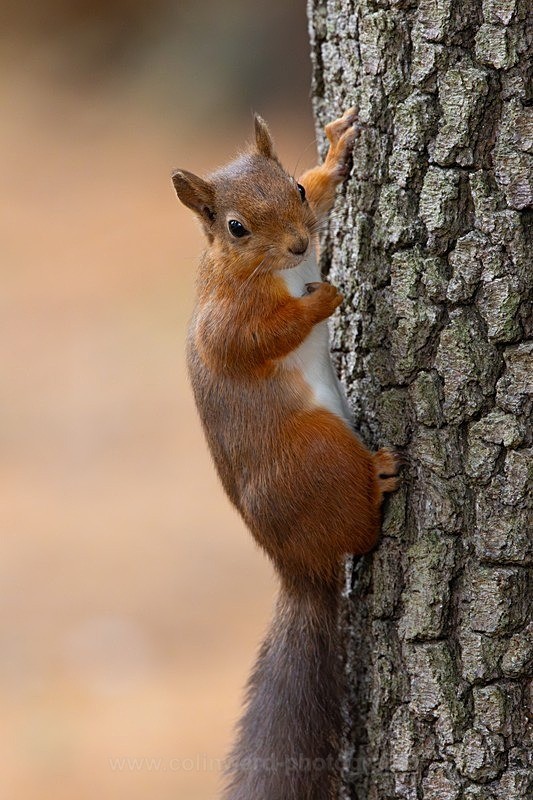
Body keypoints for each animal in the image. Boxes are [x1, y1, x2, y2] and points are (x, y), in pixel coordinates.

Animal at [171, 109, 399, 800]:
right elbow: (262, 337)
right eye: (235, 227)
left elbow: (328, 192)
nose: (302, 248)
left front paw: (338, 150)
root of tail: (301, 571)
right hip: (315, 450)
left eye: (293, 191)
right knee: (360, 529)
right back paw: (379, 477)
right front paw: (321, 300)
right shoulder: (229, 322)